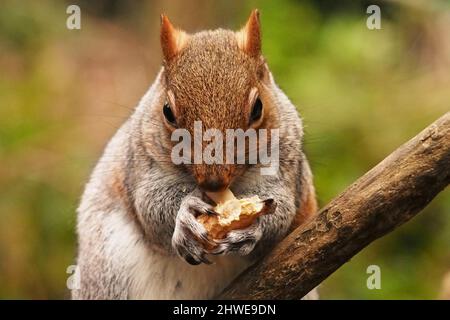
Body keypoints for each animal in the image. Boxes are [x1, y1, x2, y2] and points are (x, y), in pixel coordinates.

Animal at [73, 10, 316, 300]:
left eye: (258, 108)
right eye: (167, 111)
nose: (213, 182)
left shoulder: (287, 163)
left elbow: (282, 209)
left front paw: (253, 229)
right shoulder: (142, 160)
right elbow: (150, 205)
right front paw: (185, 214)